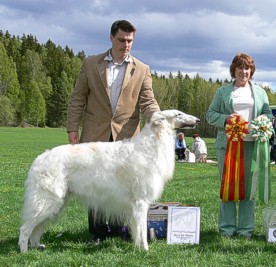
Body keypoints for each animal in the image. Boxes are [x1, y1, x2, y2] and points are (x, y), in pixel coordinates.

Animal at [19, 110, 199, 252]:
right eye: (179, 114)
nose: (197, 120)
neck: (151, 145)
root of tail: (39, 159)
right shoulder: (141, 201)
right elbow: (142, 231)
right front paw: (145, 250)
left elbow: (137, 230)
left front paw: (137, 247)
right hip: (48, 202)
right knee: (25, 229)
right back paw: (24, 251)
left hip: (58, 203)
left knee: (36, 229)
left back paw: (36, 246)